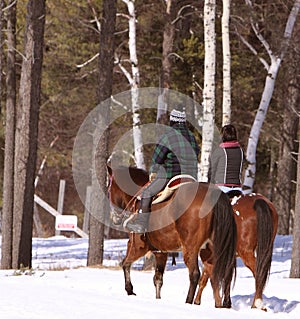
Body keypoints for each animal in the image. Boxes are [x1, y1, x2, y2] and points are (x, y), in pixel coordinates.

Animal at [108, 165, 237, 308]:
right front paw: (157, 298)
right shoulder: (160, 252)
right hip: (212, 250)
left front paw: (129, 290)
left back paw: (188, 301)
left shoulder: (138, 246)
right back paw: (223, 304)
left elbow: (125, 264)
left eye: (109, 188)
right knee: (222, 274)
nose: (113, 218)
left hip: (190, 249)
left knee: (195, 274)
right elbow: (158, 279)